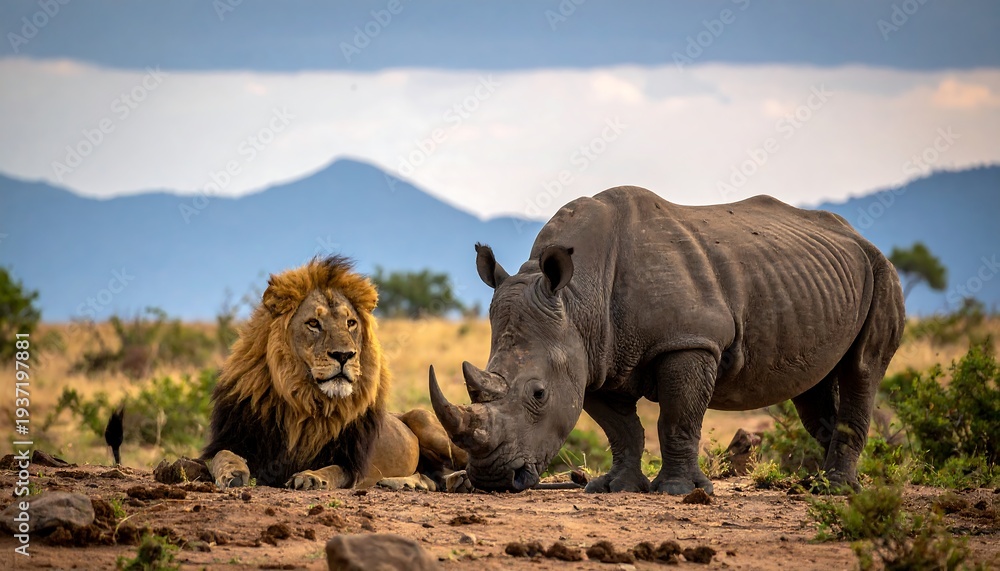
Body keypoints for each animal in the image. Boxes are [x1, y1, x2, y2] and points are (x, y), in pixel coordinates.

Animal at [201, 256, 468, 491]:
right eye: (313, 323)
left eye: (350, 323)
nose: (343, 355)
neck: (305, 402)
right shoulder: (234, 438)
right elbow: (220, 455)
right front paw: (233, 472)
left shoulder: (349, 463)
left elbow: (332, 471)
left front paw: (311, 477)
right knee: (431, 477)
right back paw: (405, 483)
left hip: (427, 422)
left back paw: (460, 480)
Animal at [429, 186, 905, 494]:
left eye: (539, 394)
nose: (492, 479)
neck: (578, 298)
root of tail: (859, 237)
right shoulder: (592, 356)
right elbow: (620, 428)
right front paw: (614, 488)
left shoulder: (688, 340)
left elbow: (677, 418)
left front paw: (678, 491)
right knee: (813, 387)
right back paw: (826, 483)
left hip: (882, 270)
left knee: (862, 368)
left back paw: (836, 491)